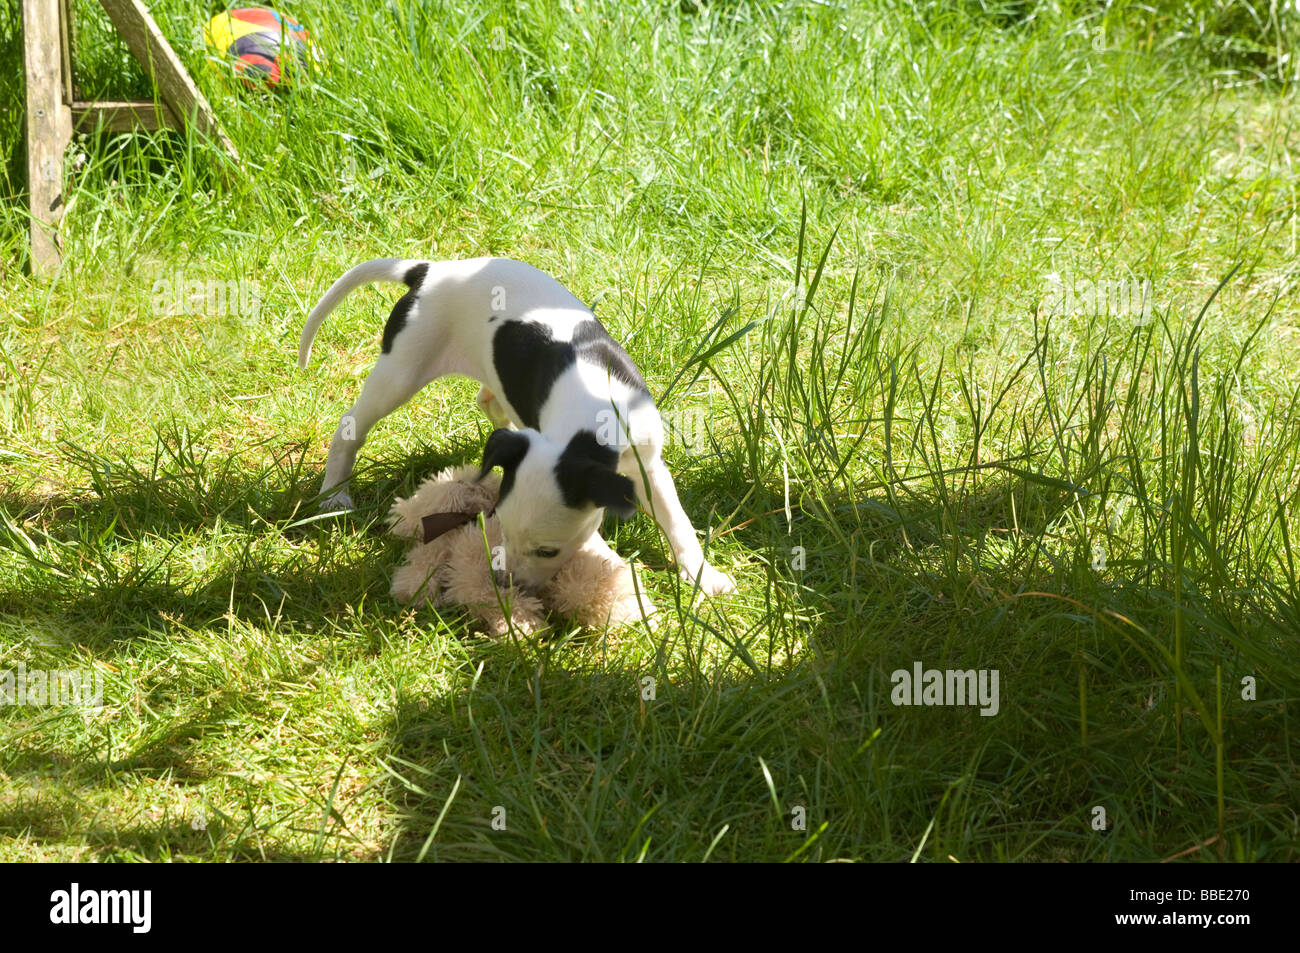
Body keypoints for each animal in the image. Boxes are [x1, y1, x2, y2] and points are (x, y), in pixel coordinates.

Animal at [297, 252, 738, 595]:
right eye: (502, 530)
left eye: (547, 550)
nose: (507, 584)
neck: (588, 417)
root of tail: (429, 270)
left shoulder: (648, 463)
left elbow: (678, 522)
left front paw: (703, 576)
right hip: (401, 371)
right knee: (350, 428)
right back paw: (335, 495)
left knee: (489, 398)